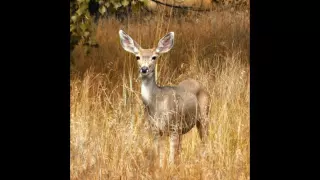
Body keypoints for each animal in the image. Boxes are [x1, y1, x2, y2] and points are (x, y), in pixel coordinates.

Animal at [119, 29, 210, 167]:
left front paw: (170, 168)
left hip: (204, 115)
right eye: (137, 57)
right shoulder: (155, 129)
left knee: (205, 139)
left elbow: (170, 156)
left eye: (154, 57)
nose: (144, 69)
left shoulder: (173, 126)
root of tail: (199, 84)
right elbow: (160, 155)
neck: (156, 104)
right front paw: (161, 167)